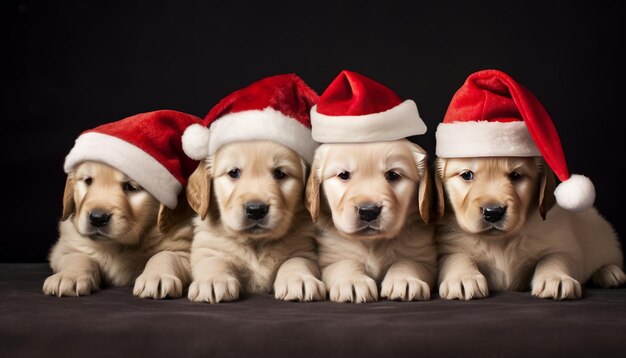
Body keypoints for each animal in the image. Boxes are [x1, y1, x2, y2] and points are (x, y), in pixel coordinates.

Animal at [43, 161, 194, 298]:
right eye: (88, 181)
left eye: (131, 186)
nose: (97, 218)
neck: (118, 246)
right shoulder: (62, 250)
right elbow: (78, 257)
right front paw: (68, 276)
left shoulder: (184, 249)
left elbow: (165, 255)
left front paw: (157, 277)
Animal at [184, 141, 322, 304]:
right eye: (233, 172)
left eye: (280, 173)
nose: (256, 210)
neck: (256, 243)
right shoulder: (207, 247)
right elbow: (214, 261)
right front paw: (213, 280)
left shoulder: (303, 249)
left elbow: (296, 261)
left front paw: (299, 279)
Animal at [306, 140, 434, 302]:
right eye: (343, 175)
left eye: (393, 175)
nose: (368, 211)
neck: (373, 242)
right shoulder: (332, 258)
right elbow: (345, 263)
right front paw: (353, 282)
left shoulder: (424, 257)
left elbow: (408, 262)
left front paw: (404, 280)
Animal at [434, 158, 624, 300]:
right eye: (467, 175)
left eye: (516, 175)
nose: (493, 212)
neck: (501, 240)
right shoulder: (448, 246)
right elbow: (457, 257)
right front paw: (462, 277)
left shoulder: (565, 246)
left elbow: (553, 258)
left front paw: (555, 277)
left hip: (602, 236)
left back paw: (610, 272)